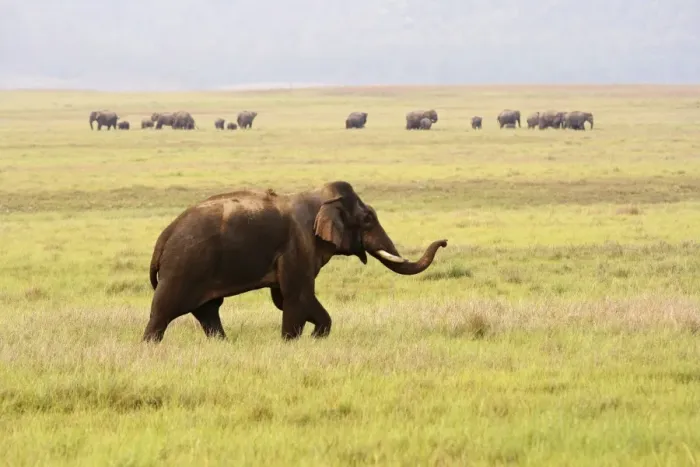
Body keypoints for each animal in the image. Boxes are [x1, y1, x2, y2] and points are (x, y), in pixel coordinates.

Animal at [143, 180, 448, 342]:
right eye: (368, 219)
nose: (444, 241)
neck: (319, 198)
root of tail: (164, 237)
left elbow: (286, 298)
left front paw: (315, 336)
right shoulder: (297, 245)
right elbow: (296, 296)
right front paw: (294, 341)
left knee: (208, 311)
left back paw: (224, 345)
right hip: (184, 266)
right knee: (163, 312)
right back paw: (149, 347)